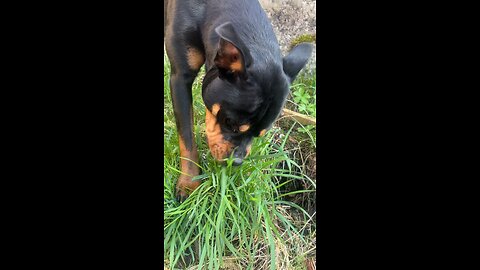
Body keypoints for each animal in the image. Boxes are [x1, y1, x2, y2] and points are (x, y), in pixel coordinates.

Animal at [165, 0, 314, 201]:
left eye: (260, 135)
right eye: (230, 123)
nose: (236, 162)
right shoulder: (180, 78)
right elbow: (187, 139)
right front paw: (189, 182)